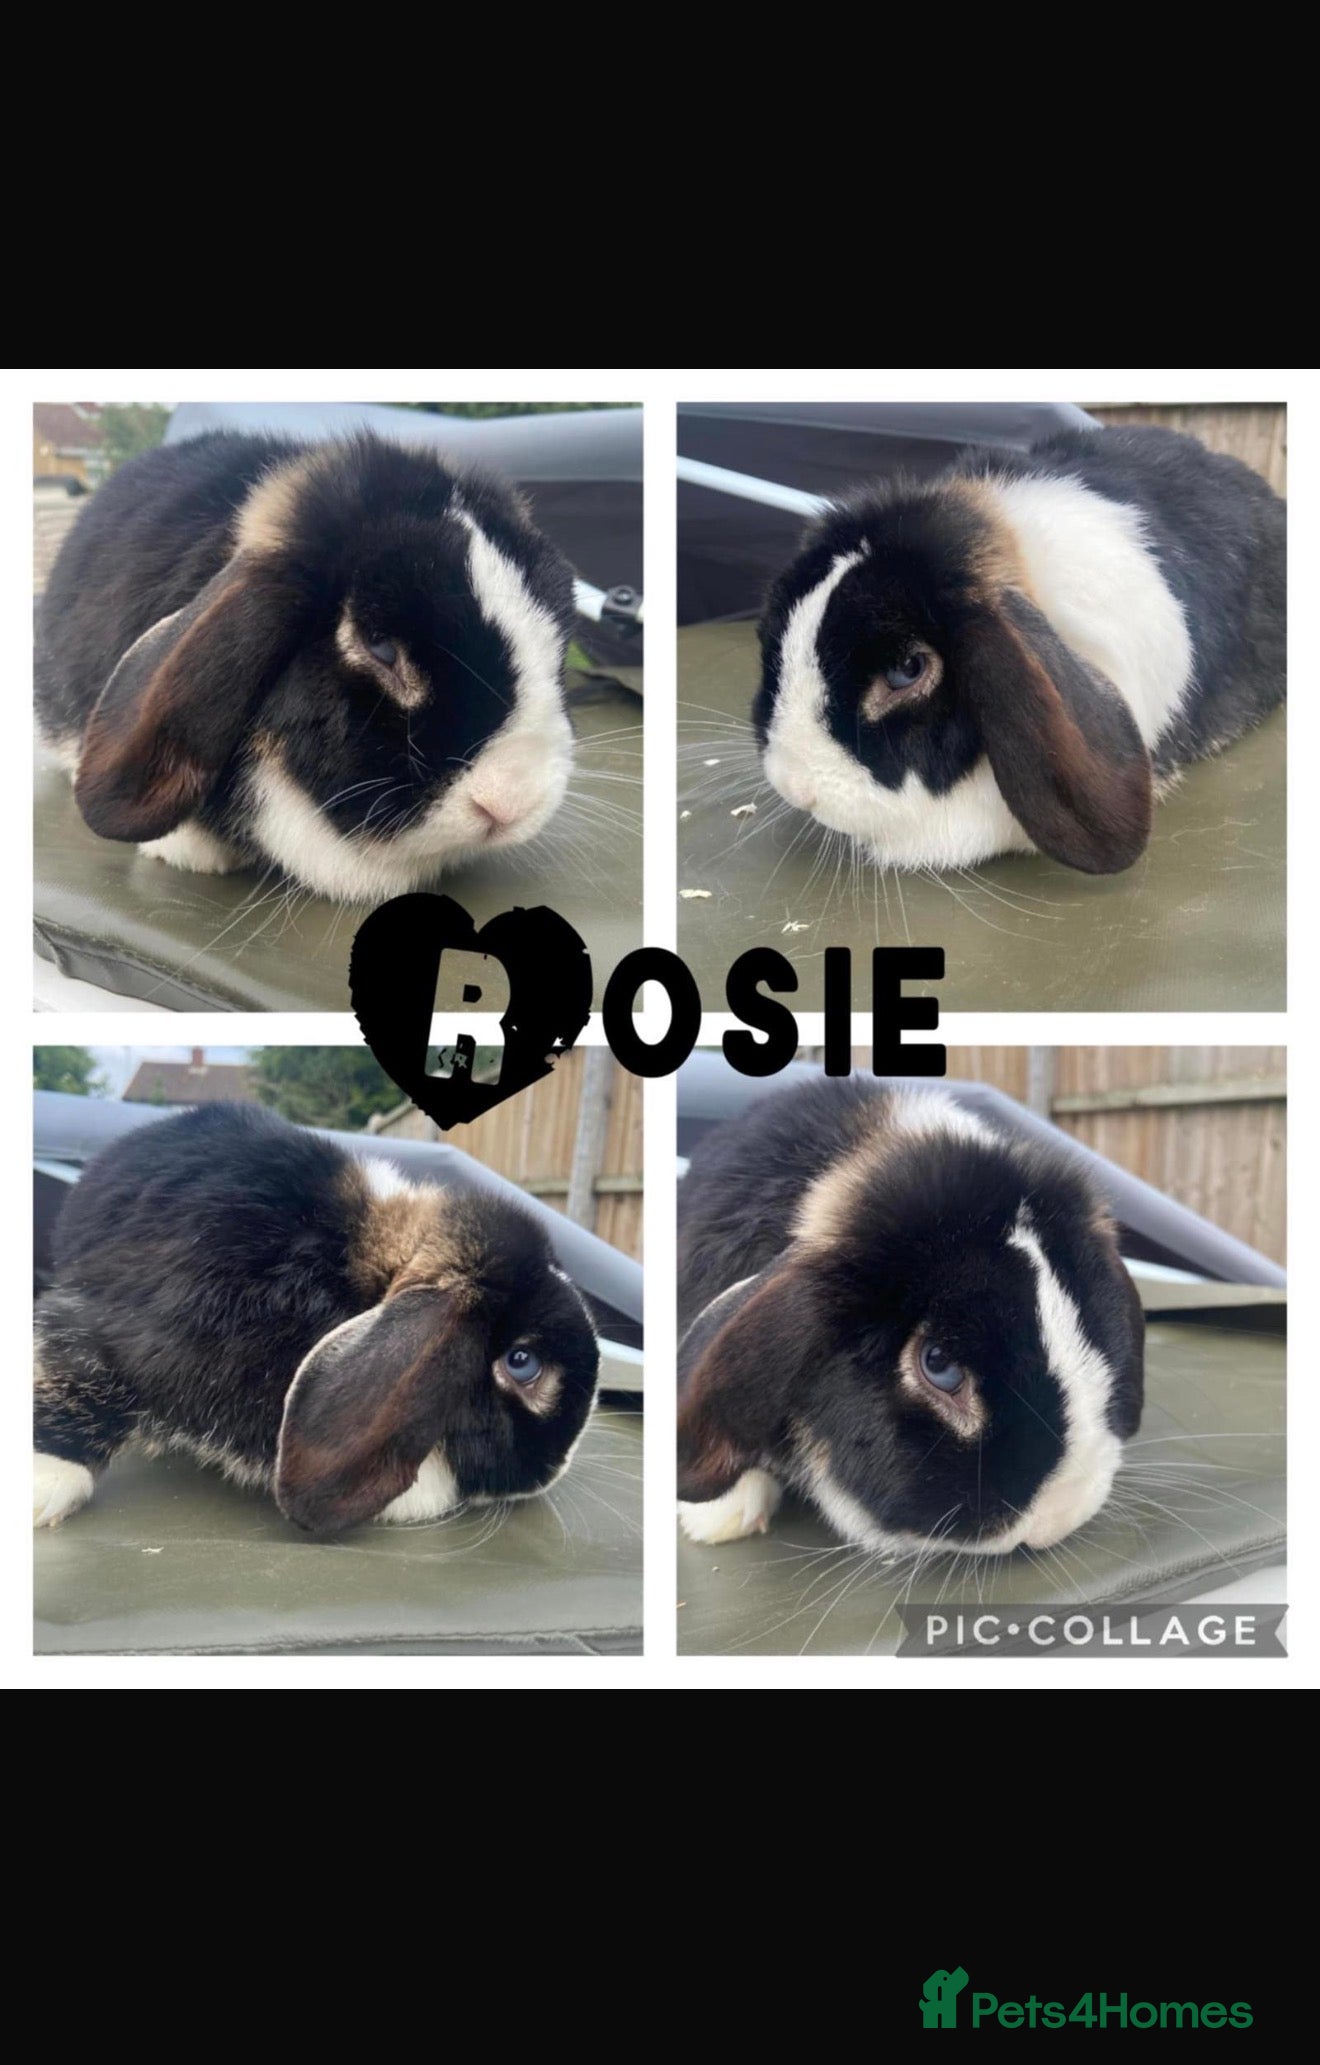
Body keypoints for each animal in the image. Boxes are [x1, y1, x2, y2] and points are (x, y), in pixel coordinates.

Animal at [33, 1103, 599, 1533]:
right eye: (522, 1362)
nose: (558, 1469)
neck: (347, 1283)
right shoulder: (114, 1333)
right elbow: (77, 1385)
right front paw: (44, 1485)